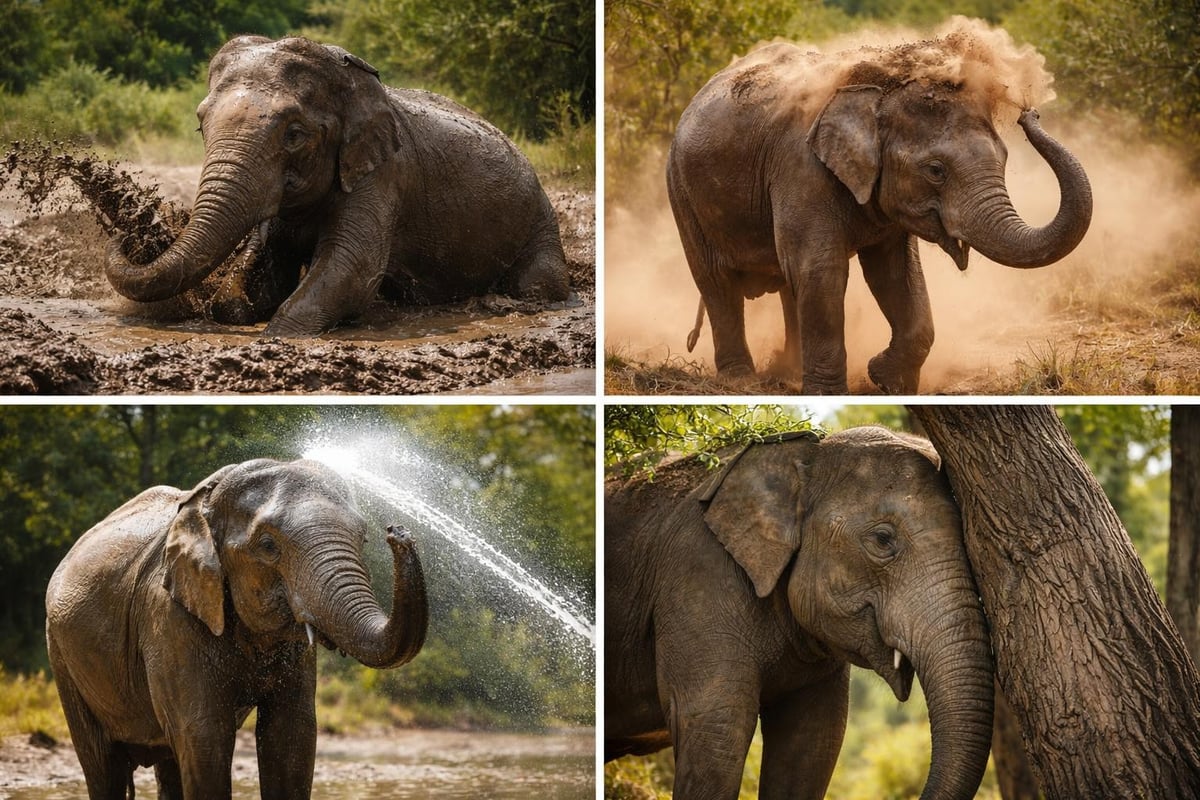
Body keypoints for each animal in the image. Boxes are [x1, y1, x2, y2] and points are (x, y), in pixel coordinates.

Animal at [44, 458, 428, 799]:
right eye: (268, 546)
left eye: (363, 539)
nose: (398, 532)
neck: (205, 508)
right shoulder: (169, 618)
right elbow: (204, 735)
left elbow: (291, 736)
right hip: (61, 655)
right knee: (103, 766)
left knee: (168, 761)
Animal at [105, 36, 570, 336]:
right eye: (201, 125)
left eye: (294, 134)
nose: (126, 233)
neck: (350, 83)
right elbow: (254, 280)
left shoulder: (382, 175)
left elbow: (351, 266)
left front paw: (276, 335)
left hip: (540, 219)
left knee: (538, 284)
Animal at [668, 35, 1093, 393]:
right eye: (935, 170)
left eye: (1004, 159)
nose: (1028, 112)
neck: (875, 94)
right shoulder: (800, 168)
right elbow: (821, 271)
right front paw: (831, 393)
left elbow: (895, 274)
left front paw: (886, 381)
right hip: (681, 191)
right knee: (715, 279)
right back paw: (741, 379)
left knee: (785, 282)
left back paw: (785, 372)